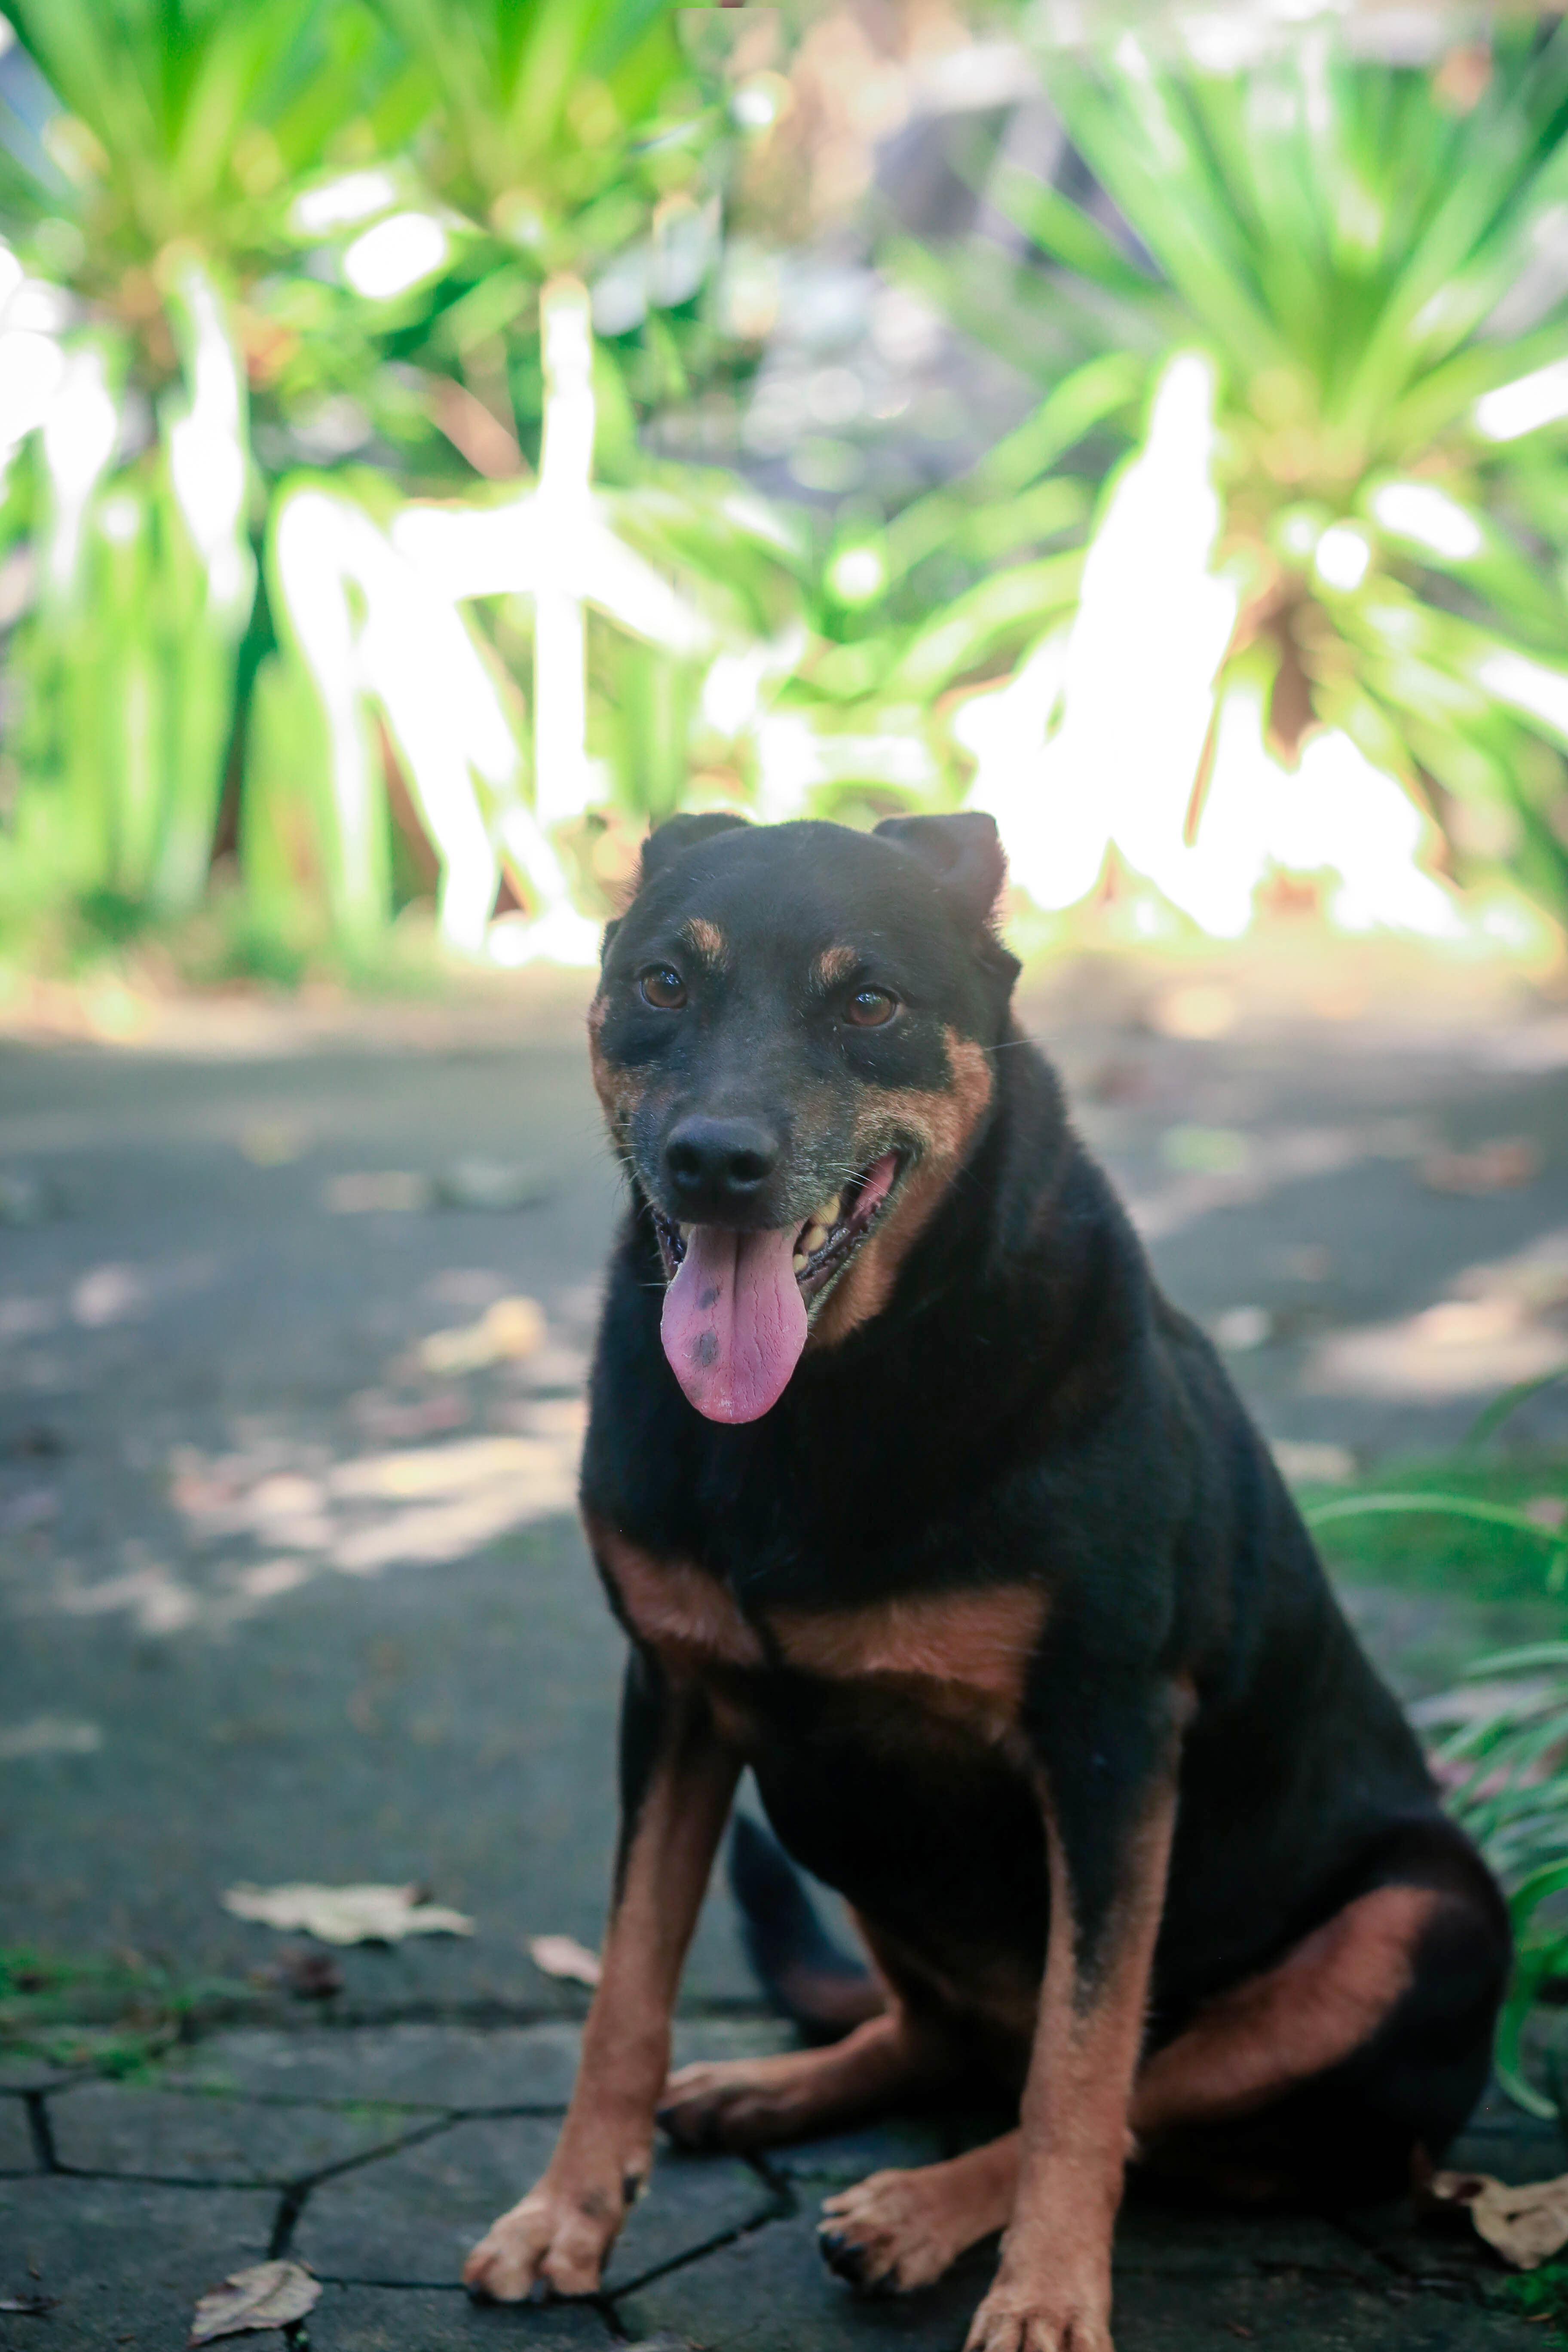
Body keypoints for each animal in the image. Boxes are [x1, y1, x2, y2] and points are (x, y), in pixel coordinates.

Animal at [463, 814, 1504, 2352]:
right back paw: (772, 2090)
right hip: (852, 1822)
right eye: (660, 983)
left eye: (869, 1003)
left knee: (1127, 2098)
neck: (827, 1395)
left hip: (1418, 1923)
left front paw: (1049, 2295)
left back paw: (911, 2211)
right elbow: (626, 1992)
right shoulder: (675, 1695)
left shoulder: (1112, 1745)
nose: (714, 1162)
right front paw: (564, 2213)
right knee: (941, 2039)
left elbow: (1083, 2071)